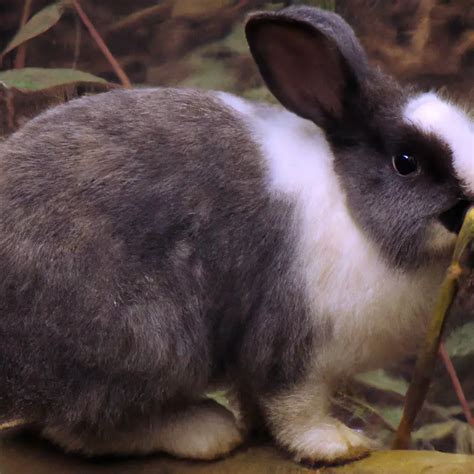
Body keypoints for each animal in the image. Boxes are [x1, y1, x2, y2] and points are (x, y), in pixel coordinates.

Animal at [0, 3, 472, 466]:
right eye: (406, 162)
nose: (467, 209)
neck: (351, 205)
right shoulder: (291, 346)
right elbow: (295, 408)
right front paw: (339, 444)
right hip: (146, 340)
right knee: (83, 427)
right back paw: (206, 431)